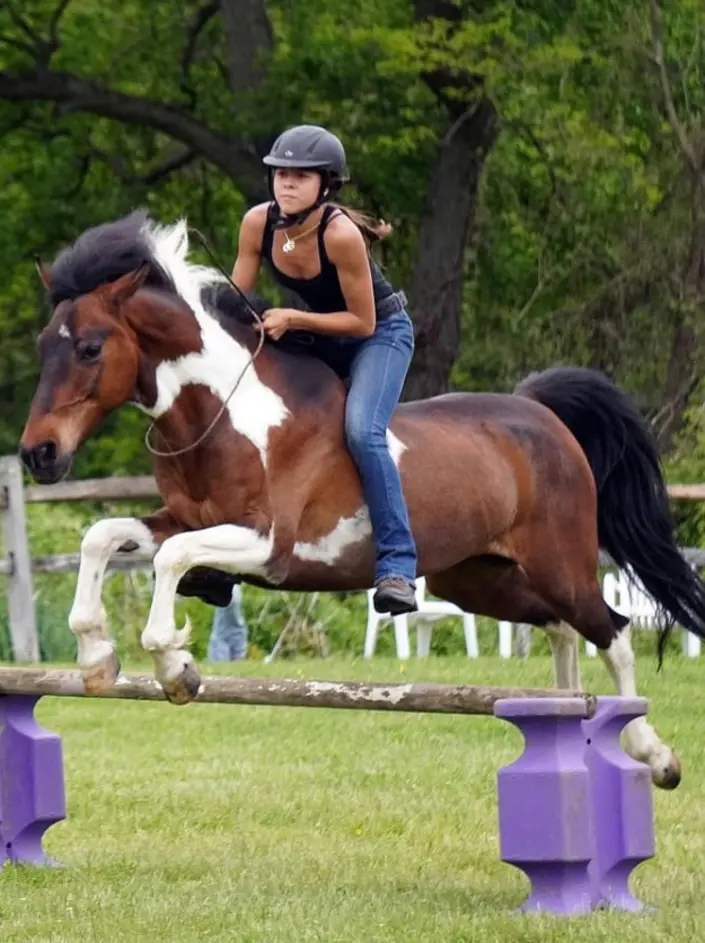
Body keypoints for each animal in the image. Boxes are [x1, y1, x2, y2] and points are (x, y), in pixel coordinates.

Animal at [19, 208, 700, 788]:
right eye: (42, 345)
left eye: (90, 348)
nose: (37, 455)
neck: (225, 410)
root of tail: (541, 413)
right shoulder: (180, 520)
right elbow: (102, 537)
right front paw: (97, 657)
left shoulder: (268, 545)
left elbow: (169, 560)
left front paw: (174, 667)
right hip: (478, 577)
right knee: (561, 626)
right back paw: (567, 713)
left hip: (559, 562)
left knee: (612, 631)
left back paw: (653, 753)